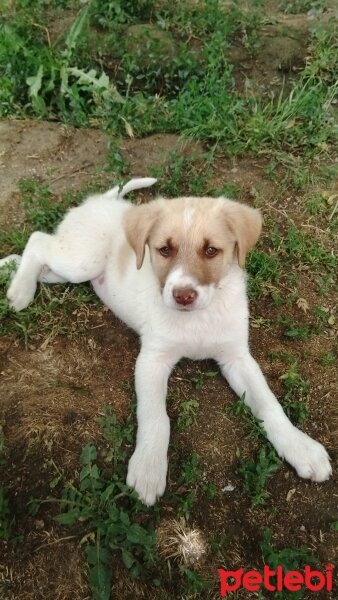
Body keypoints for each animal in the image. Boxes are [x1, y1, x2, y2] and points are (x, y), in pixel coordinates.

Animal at [0, 178, 332, 506]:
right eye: (163, 250)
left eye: (211, 250)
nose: (183, 295)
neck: (198, 318)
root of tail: (101, 201)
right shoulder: (152, 360)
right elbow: (156, 417)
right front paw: (148, 468)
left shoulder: (237, 357)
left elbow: (269, 405)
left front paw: (300, 447)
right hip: (82, 259)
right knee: (38, 240)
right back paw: (20, 290)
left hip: (68, 271)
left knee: (36, 252)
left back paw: (9, 270)